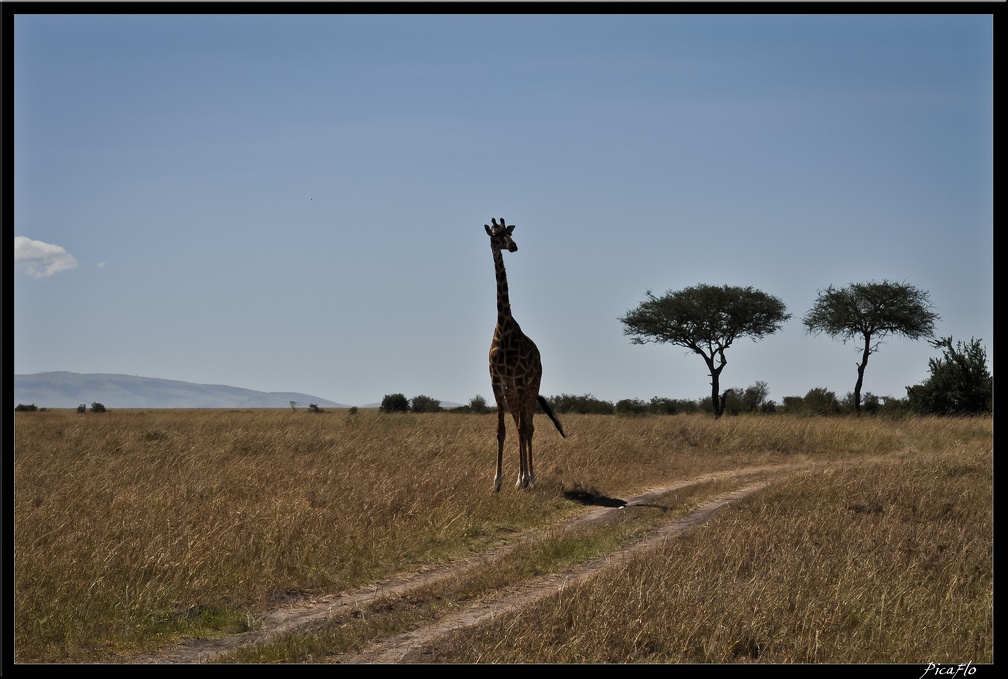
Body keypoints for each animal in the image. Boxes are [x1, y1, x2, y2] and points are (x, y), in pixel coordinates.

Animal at [481, 214, 564, 489]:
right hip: (513, 391)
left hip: (531, 385)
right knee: (521, 424)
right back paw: (522, 478)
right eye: (496, 235)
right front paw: (497, 483)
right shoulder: (497, 382)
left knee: (528, 427)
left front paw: (523, 479)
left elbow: (521, 429)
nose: (514, 246)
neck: (503, 327)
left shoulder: (518, 381)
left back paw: (529, 479)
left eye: (510, 233)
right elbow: (501, 430)